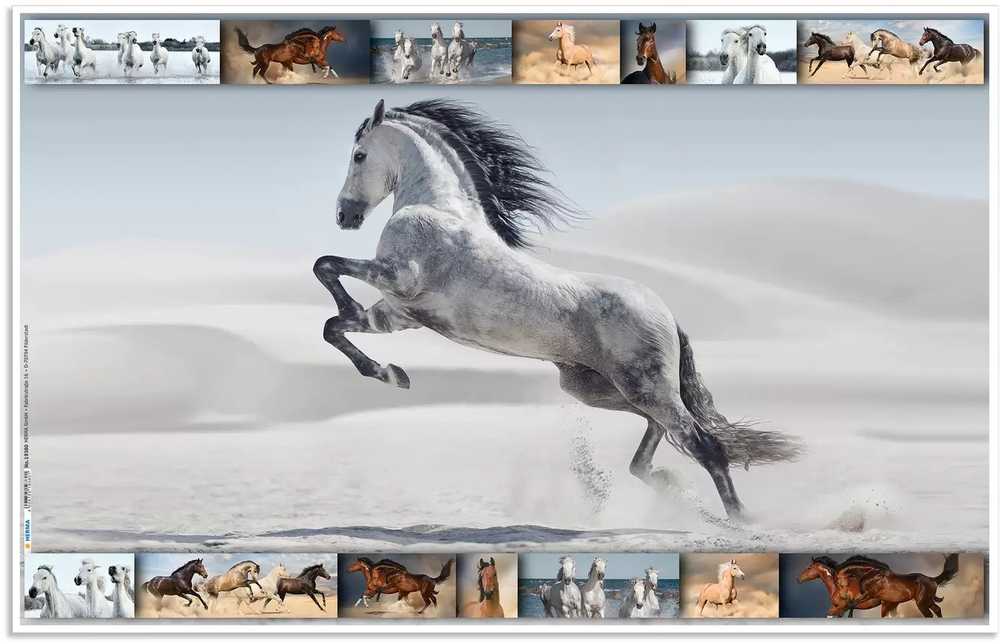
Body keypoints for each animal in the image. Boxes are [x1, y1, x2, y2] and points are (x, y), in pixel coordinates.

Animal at [315, 99, 801, 519]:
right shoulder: (398, 315)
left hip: (645, 387)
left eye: (359, 155)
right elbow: (333, 326)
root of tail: (665, 313)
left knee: (703, 443)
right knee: (659, 434)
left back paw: (739, 520)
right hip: (599, 389)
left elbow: (326, 266)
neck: (439, 208)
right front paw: (391, 374)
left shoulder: (398, 277)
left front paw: (380, 356)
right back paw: (667, 483)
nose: (343, 216)